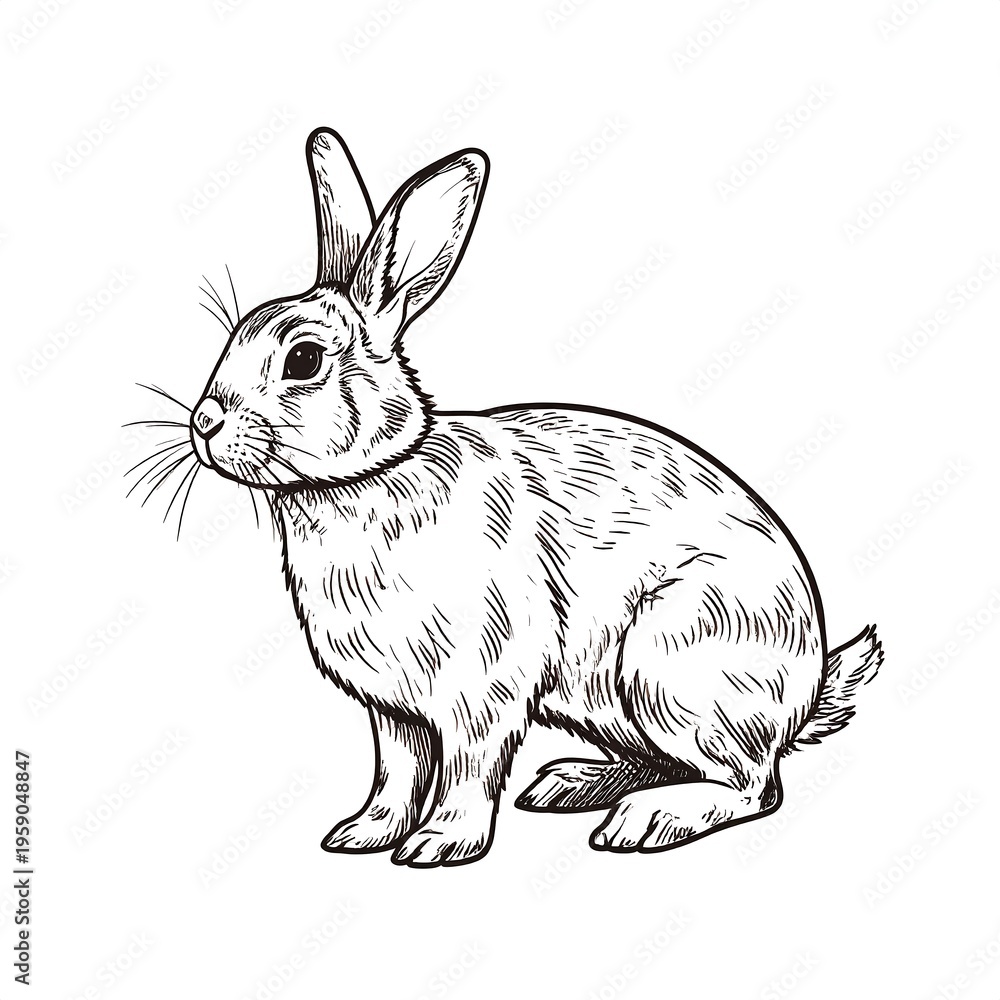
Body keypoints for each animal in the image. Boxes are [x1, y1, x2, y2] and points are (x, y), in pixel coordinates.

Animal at [185, 127, 882, 868]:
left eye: (303, 361)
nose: (203, 423)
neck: (374, 474)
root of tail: (807, 686)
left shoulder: (482, 691)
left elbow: (468, 770)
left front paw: (440, 844)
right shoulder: (394, 711)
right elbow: (395, 773)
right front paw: (362, 833)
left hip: (672, 664)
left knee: (751, 784)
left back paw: (644, 821)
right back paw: (572, 784)